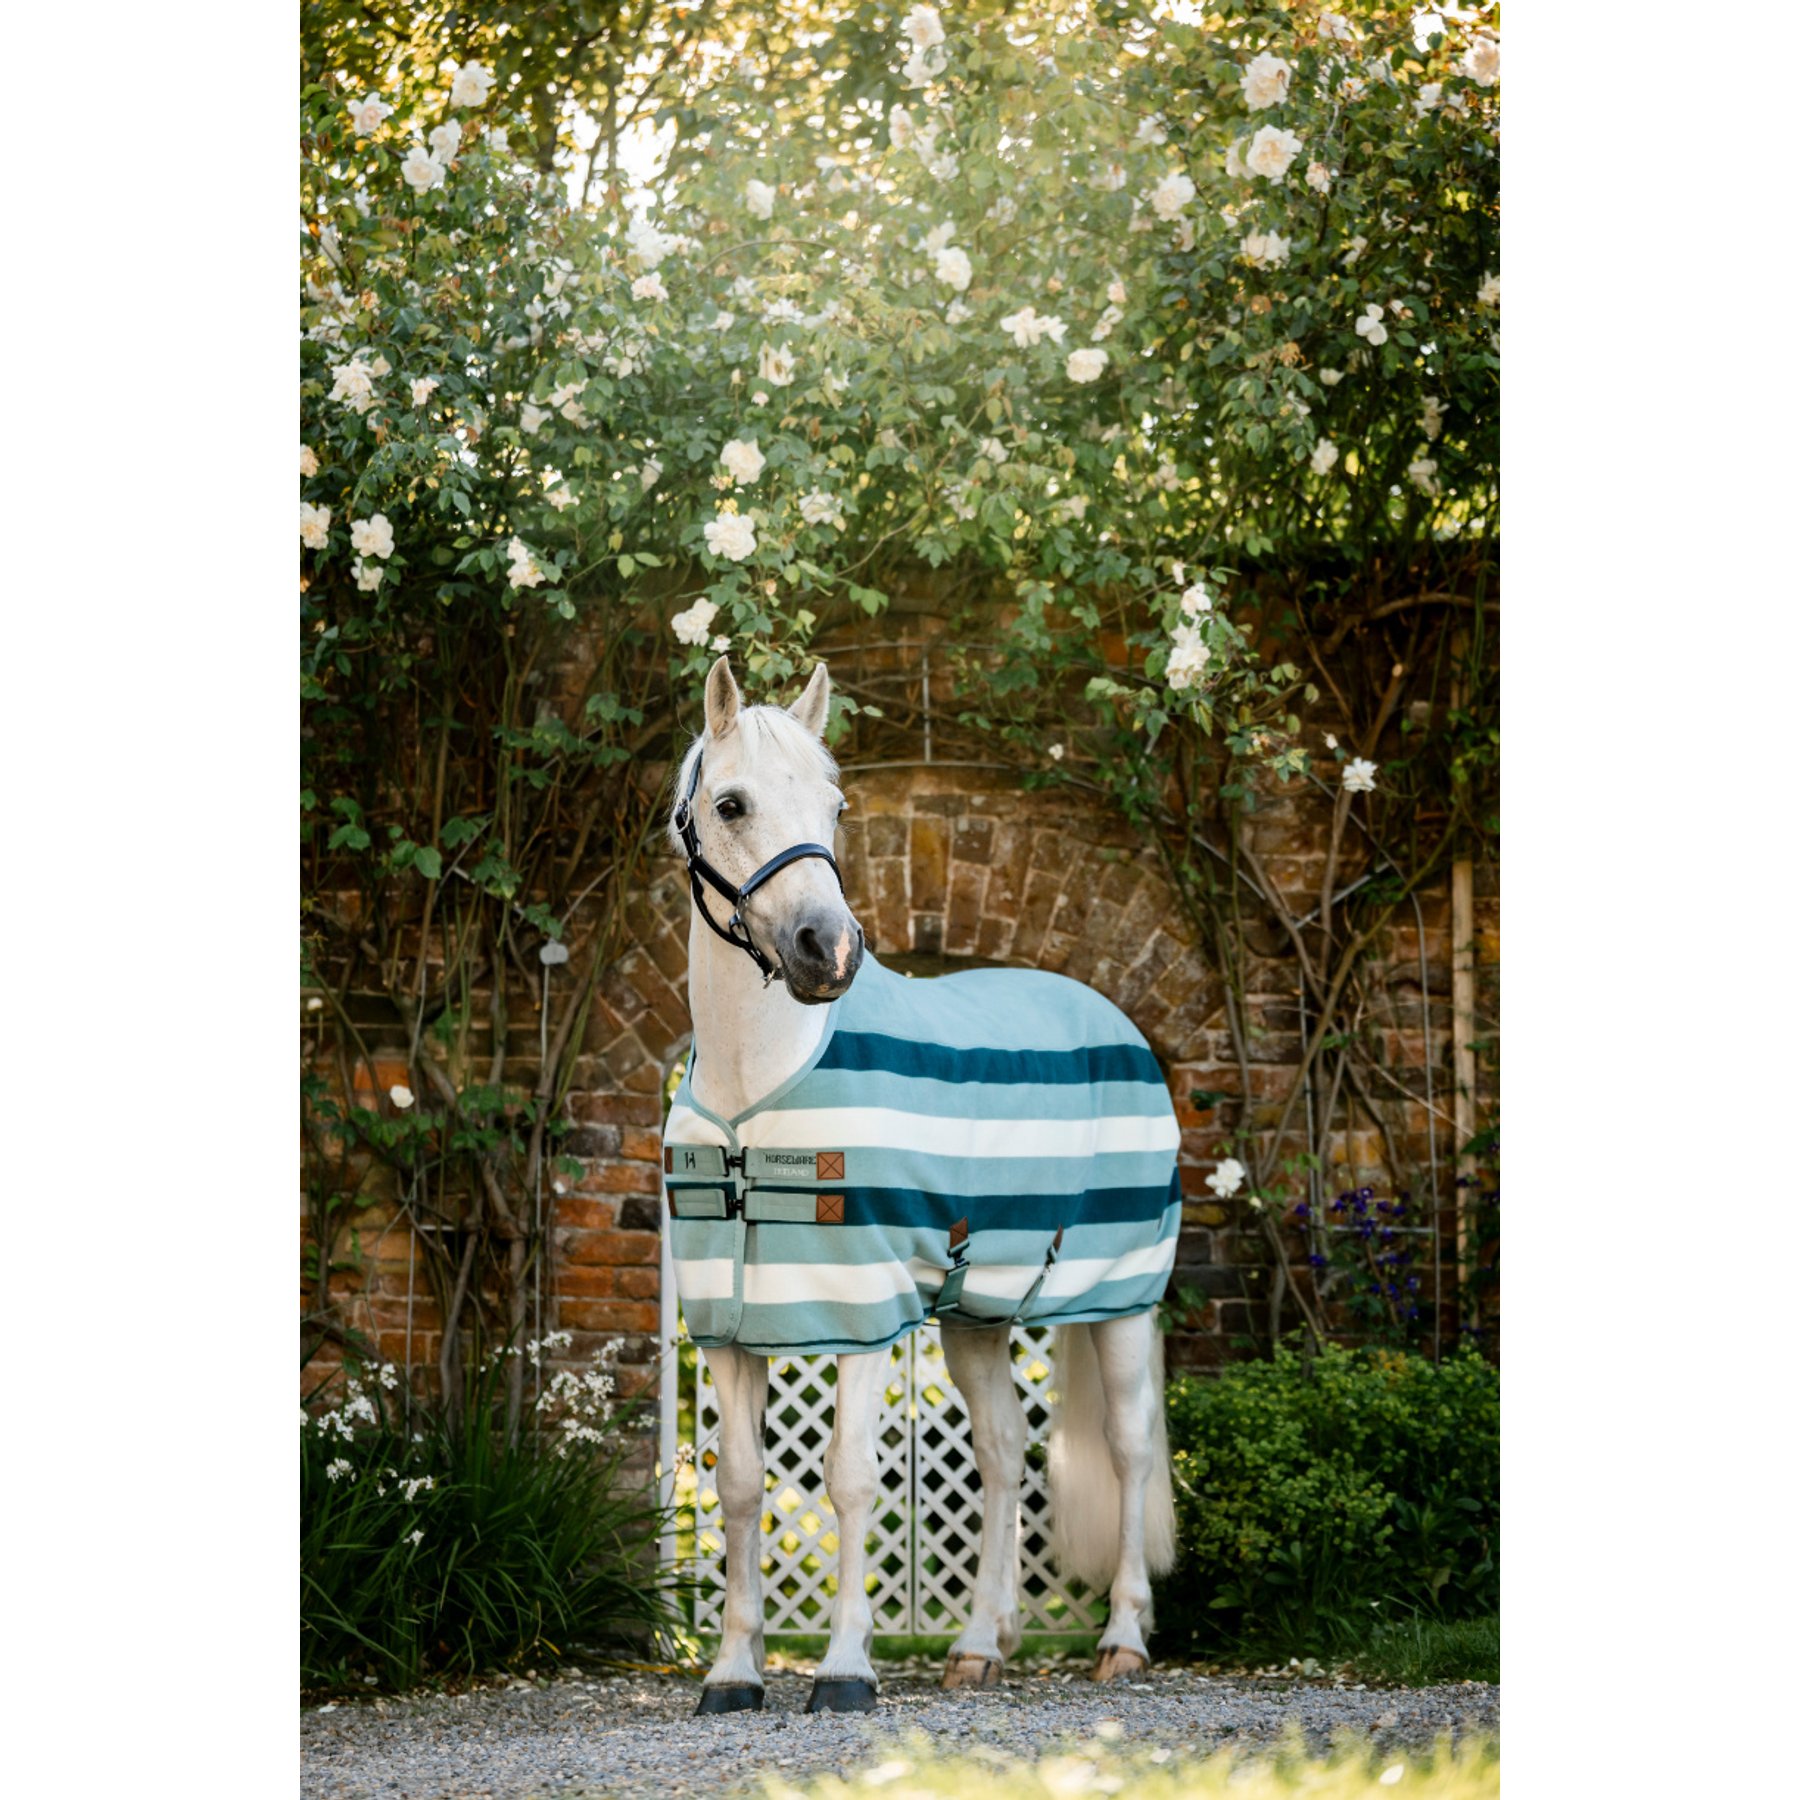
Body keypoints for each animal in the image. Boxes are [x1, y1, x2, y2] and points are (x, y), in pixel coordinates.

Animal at [662, 655, 1178, 1715]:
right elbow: (739, 1485)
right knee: (1005, 1455)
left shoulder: (860, 1309)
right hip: (977, 1316)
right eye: (731, 804)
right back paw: (982, 1644)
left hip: (1119, 1299)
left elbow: (851, 1478)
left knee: (1130, 1449)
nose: (828, 950)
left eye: (835, 804)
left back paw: (1122, 1640)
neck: (753, 1089)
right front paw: (733, 1674)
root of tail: (1113, 1021)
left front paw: (845, 1671)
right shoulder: (732, 1326)